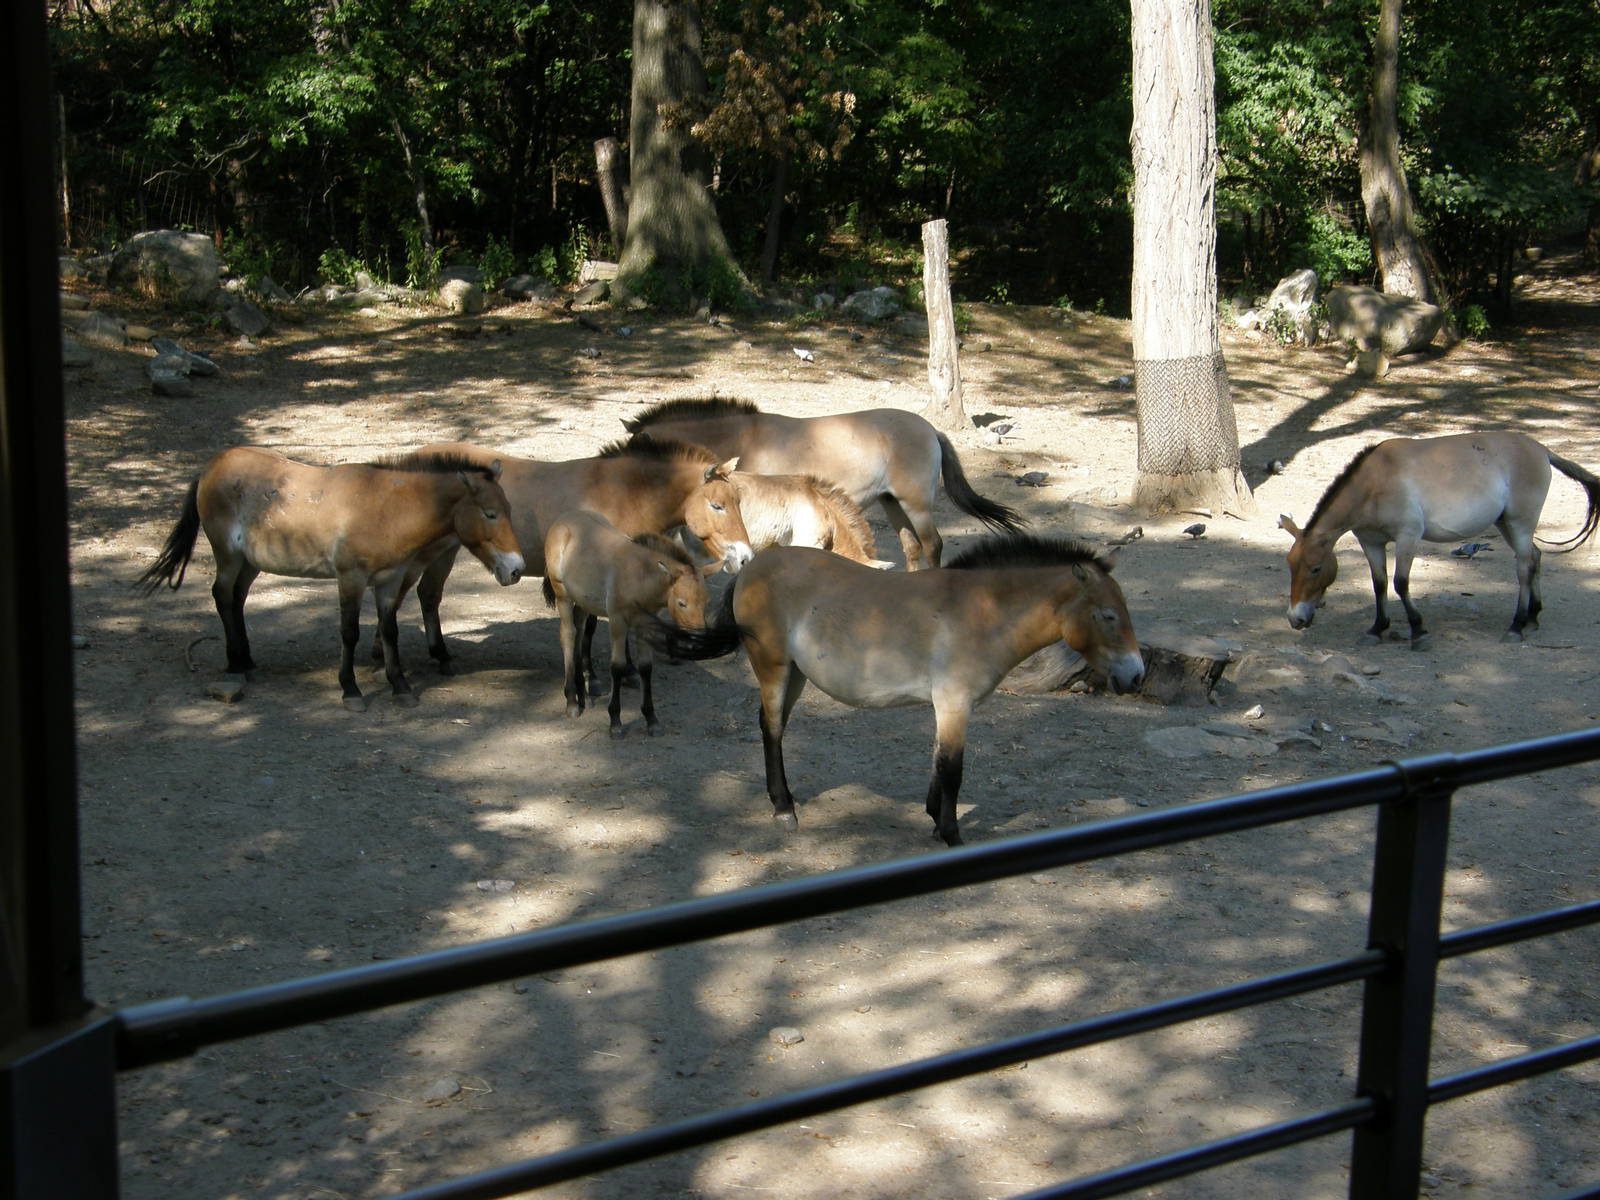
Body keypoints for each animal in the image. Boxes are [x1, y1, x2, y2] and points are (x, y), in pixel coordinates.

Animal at [134, 448, 526, 709]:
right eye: (490, 514)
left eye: (509, 510)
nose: (516, 569)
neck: (387, 507)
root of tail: (212, 466)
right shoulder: (350, 579)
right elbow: (349, 633)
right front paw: (350, 689)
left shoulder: (388, 583)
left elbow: (390, 631)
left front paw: (400, 686)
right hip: (228, 556)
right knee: (222, 596)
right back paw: (235, 665)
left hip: (250, 562)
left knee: (238, 599)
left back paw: (247, 661)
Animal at [392, 436, 754, 674]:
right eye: (717, 505)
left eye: (738, 501)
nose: (745, 557)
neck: (623, 492)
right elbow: (589, 625)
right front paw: (593, 672)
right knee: (426, 595)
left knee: (427, 594)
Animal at [542, 511, 720, 737]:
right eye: (682, 603)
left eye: (707, 601)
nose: (698, 641)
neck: (639, 576)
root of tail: (562, 519)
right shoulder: (617, 621)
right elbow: (617, 666)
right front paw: (615, 721)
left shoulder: (645, 624)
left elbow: (645, 667)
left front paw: (651, 719)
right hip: (562, 595)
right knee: (568, 635)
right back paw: (572, 701)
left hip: (583, 601)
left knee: (580, 631)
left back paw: (583, 694)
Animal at [656, 534, 1144, 846]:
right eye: (1108, 616)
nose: (1136, 676)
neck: (980, 611)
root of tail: (753, 566)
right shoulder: (955, 703)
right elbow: (953, 769)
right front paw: (951, 834)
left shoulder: (947, 706)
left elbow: (938, 761)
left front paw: (933, 819)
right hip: (773, 667)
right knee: (771, 729)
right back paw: (783, 809)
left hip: (794, 673)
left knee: (772, 725)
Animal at [1279, 432, 1600, 648]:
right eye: (1290, 567)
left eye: (1315, 569)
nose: (1295, 619)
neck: (1376, 482)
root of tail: (1542, 450)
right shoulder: (1370, 542)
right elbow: (1379, 584)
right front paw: (1377, 629)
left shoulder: (1408, 537)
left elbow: (1401, 583)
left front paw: (1418, 631)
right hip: (1507, 524)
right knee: (1535, 558)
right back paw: (1533, 617)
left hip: (1520, 523)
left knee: (1523, 568)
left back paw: (1517, 625)